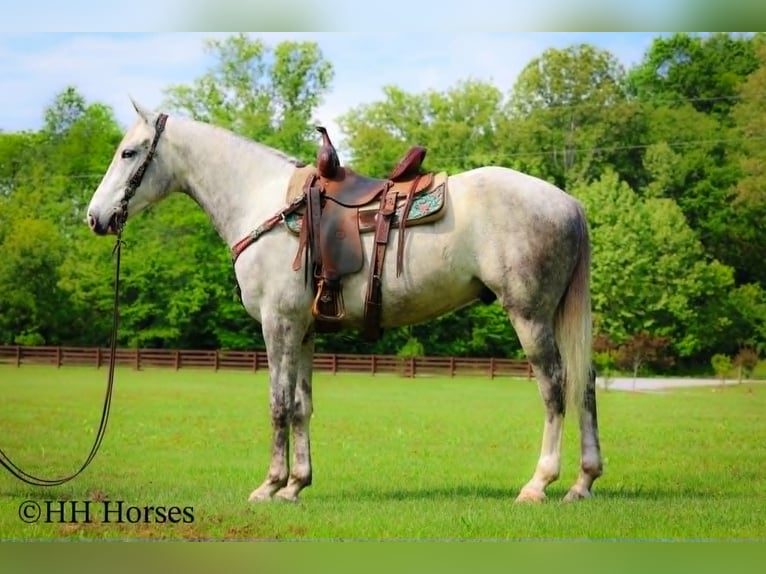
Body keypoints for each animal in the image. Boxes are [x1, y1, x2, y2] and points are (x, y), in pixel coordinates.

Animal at [85, 98, 603, 504]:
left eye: (128, 152)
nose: (95, 217)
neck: (264, 203)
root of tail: (570, 203)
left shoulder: (278, 324)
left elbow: (277, 403)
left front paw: (269, 485)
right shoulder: (304, 329)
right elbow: (301, 405)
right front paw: (296, 485)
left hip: (530, 315)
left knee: (555, 386)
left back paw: (539, 483)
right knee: (585, 384)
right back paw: (583, 482)